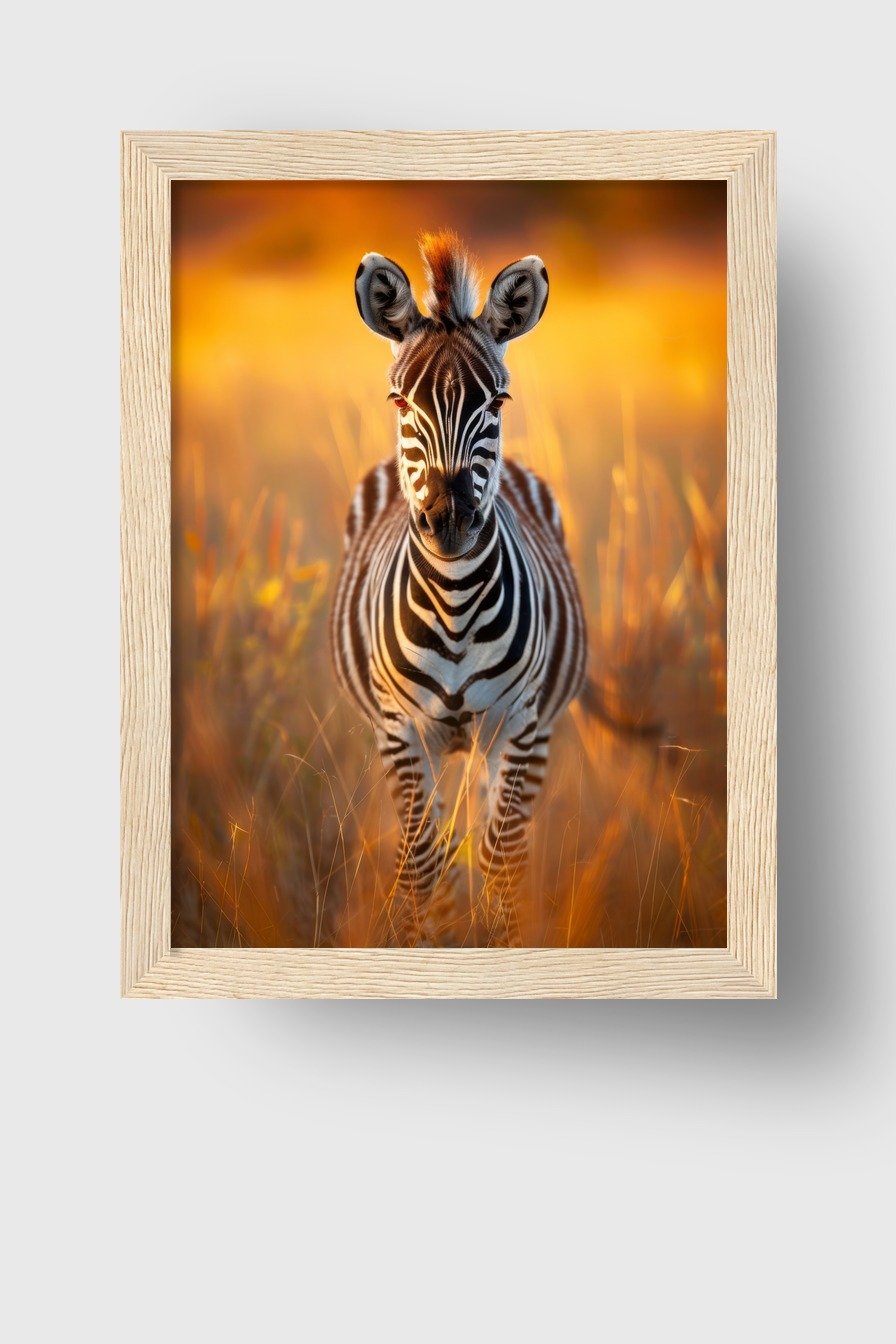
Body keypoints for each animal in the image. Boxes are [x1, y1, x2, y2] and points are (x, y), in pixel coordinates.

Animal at [330, 231, 588, 946]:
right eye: (399, 402)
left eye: (496, 402)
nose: (449, 519)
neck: (453, 606)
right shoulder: (402, 731)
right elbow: (424, 865)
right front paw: (430, 944)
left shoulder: (517, 724)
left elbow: (499, 863)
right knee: (437, 846)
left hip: (519, 737)